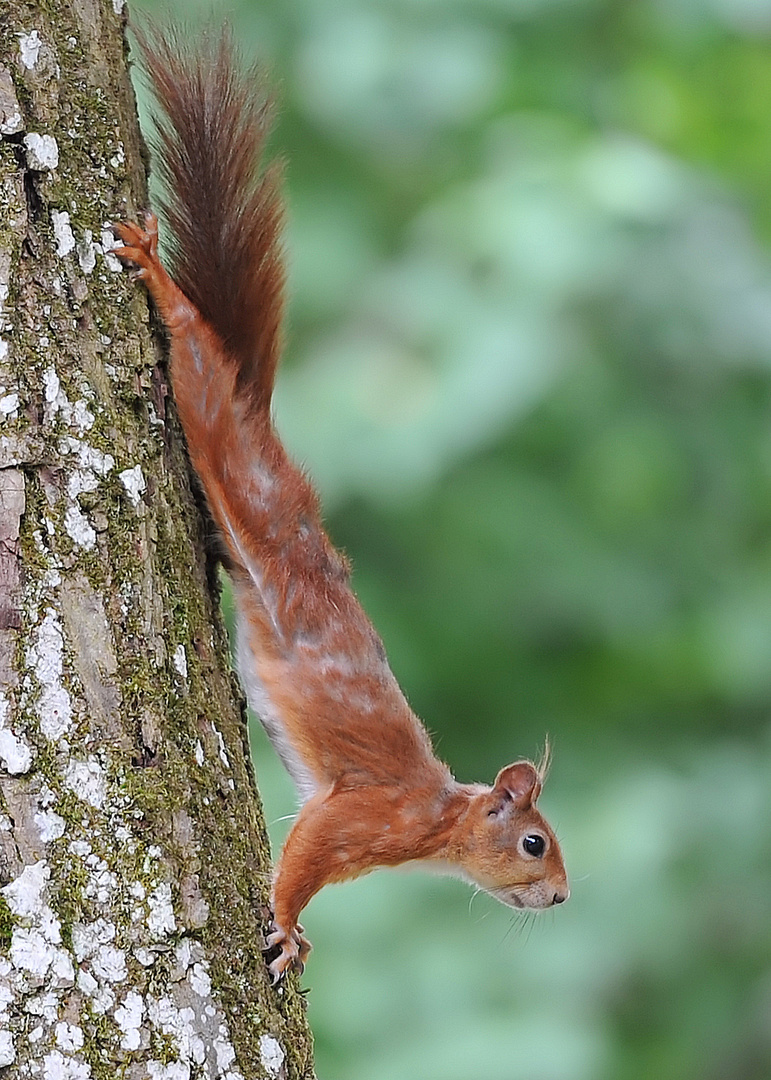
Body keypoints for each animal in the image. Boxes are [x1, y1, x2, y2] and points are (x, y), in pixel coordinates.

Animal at [117, 29, 565, 984]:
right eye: (534, 843)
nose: (560, 899)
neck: (438, 821)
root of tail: (261, 421)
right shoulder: (362, 818)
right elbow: (306, 856)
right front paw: (288, 926)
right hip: (225, 441)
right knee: (199, 359)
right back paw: (160, 279)